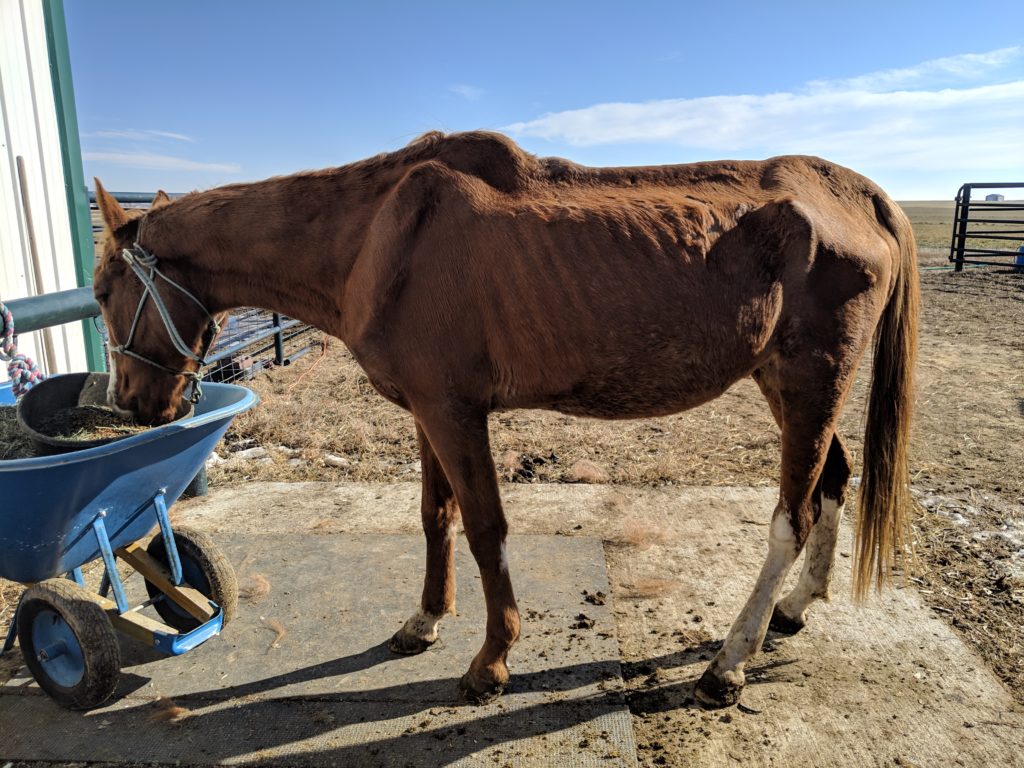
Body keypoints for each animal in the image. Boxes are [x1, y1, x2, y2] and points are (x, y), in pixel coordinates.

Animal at [92, 131, 917, 708]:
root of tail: (861, 197)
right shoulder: (425, 411)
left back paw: (728, 664)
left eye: (101, 292)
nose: (132, 403)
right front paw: (424, 621)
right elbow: (436, 516)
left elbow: (487, 529)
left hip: (811, 381)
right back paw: (795, 608)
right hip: (788, 385)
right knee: (833, 482)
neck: (378, 236)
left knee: (790, 519)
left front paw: (491, 659)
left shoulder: (456, 413)